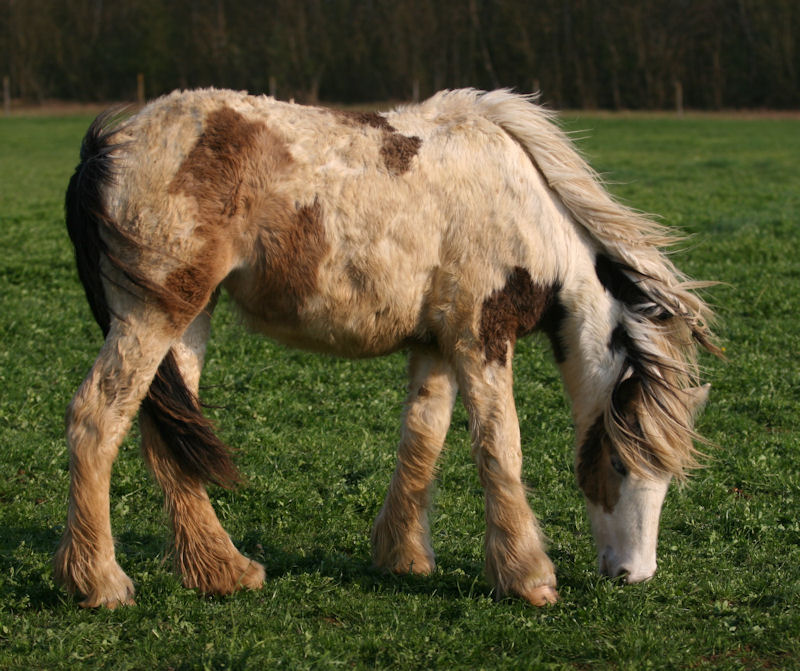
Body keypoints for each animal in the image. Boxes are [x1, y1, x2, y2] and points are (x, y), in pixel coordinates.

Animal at [56, 88, 720, 608]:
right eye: (619, 463)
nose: (634, 574)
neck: (524, 206)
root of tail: (108, 148)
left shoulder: (436, 344)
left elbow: (422, 438)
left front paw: (404, 557)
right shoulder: (481, 336)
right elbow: (500, 447)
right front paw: (529, 578)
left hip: (190, 316)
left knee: (166, 432)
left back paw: (223, 572)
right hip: (153, 315)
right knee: (97, 418)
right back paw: (101, 584)